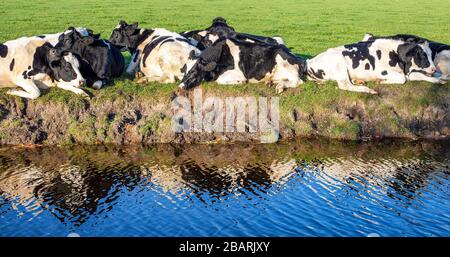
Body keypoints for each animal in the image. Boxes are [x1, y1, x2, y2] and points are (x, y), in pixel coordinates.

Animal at [178, 37, 308, 93]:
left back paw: (280, 87)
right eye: (185, 71)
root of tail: (300, 59)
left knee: (297, 81)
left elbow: (220, 81)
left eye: (194, 72)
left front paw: (239, 82)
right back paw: (271, 82)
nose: (179, 87)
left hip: (287, 67)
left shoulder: (239, 74)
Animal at [308, 34, 438, 93]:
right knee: (344, 85)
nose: (434, 69)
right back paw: (367, 90)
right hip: (339, 64)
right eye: (422, 55)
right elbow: (402, 79)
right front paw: (381, 81)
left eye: (431, 54)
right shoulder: (381, 71)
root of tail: (310, 63)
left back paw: (358, 81)